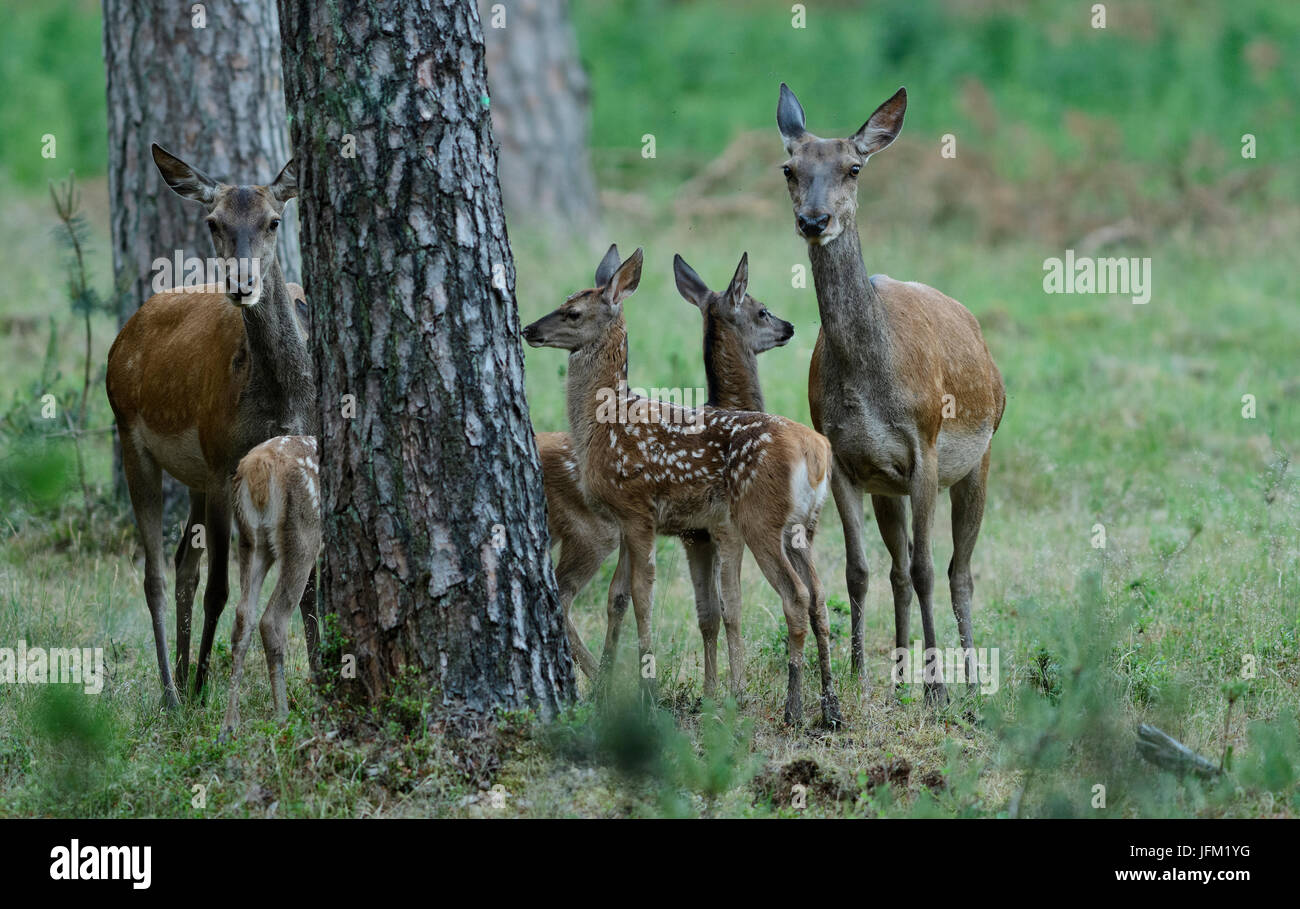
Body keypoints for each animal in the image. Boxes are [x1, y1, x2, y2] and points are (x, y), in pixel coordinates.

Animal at [105, 143, 317, 712]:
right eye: (213, 222)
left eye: (273, 220)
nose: (241, 285)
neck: (280, 395)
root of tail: (121, 339)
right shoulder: (225, 461)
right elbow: (221, 588)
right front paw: (204, 686)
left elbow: (309, 588)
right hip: (132, 437)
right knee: (156, 574)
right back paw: (174, 690)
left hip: (196, 473)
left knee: (184, 564)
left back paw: (181, 675)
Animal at [222, 434, 321, 738]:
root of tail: (258, 467)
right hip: (303, 537)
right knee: (272, 620)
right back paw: (283, 717)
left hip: (250, 539)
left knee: (243, 617)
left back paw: (229, 725)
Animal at [520, 247, 842, 723]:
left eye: (573, 312)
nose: (528, 329)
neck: (605, 427)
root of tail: (817, 450)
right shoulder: (640, 522)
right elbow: (622, 597)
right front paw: (611, 687)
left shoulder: (643, 512)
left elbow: (648, 596)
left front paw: (652, 689)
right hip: (805, 527)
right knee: (818, 596)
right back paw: (830, 708)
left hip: (758, 519)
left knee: (796, 595)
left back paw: (793, 708)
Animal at [769, 83, 1003, 702]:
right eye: (789, 168)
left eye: (853, 167)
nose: (814, 219)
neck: (870, 384)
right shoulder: (848, 463)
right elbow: (859, 570)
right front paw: (858, 675)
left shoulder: (925, 448)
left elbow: (928, 569)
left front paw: (938, 688)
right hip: (887, 486)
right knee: (898, 568)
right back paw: (900, 672)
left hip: (979, 458)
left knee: (958, 570)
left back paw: (970, 679)